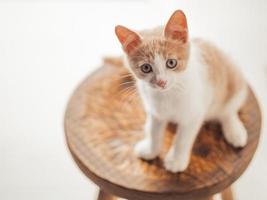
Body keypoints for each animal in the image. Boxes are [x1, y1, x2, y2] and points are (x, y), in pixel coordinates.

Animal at [114, 9, 248, 172]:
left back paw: (235, 131)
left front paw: (176, 161)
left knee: (228, 110)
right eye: (146, 67)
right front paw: (151, 150)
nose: (161, 82)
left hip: (233, 79)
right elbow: (154, 132)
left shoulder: (194, 114)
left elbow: (182, 139)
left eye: (171, 63)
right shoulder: (156, 112)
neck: (167, 94)